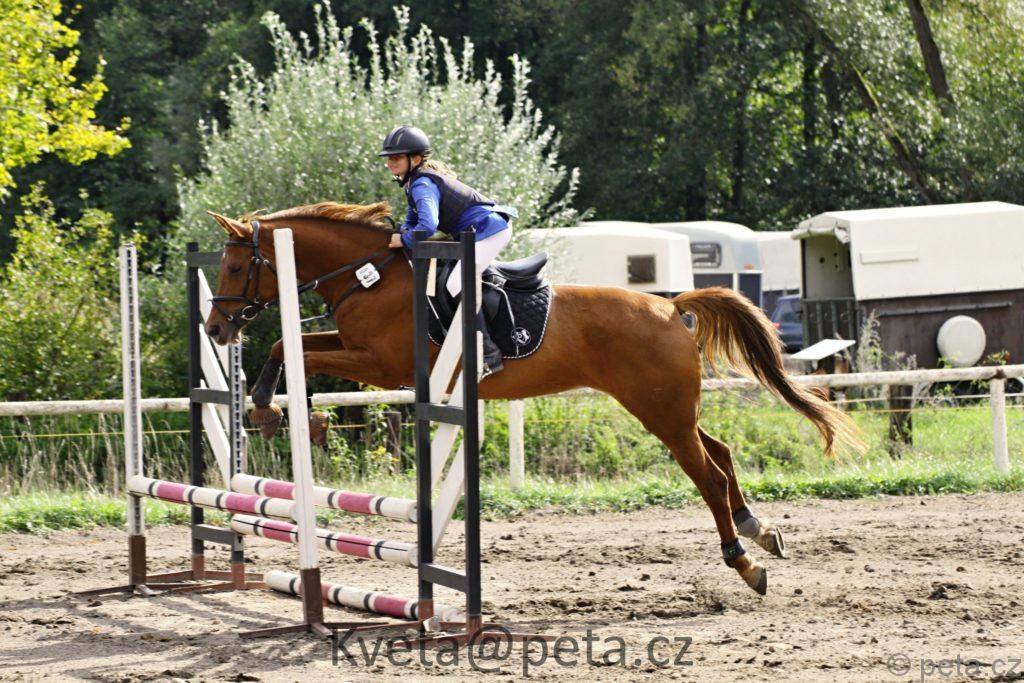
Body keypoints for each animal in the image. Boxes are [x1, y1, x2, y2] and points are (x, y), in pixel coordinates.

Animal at [204, 202, 864, 596]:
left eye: (235, 268)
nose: (216, 328)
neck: (369, 274)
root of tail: (671, 306)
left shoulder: (379, 362)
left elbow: (299, 353)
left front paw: (271, 410)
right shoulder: (358, 349)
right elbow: (293, 346)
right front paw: (269, 409)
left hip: (660, 410)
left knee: (704, 473)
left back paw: (744, 562)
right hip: (666, 408)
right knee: (720, 455)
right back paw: (760, 530)